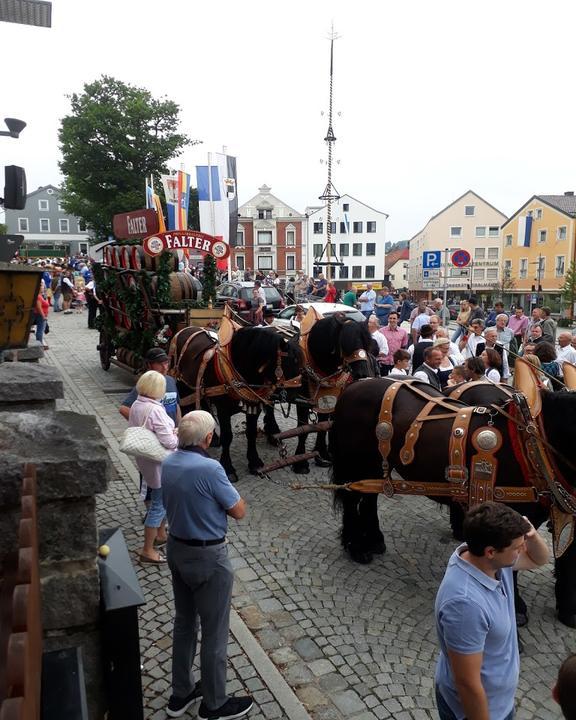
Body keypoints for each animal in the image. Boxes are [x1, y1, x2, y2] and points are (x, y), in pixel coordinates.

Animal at [169, 322, 302, 480]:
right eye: (288, 363)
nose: (295, 396)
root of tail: (185, 329)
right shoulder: (222, 409)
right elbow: (227, 436)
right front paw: (228, 467)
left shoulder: (253, 405)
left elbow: (251, 432)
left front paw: (254, 462)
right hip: (183, 384)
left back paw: (213, 438)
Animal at [328, 366, 576, 624]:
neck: (532, 446)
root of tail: (356, 384)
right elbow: (512, 565)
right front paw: (517, 609)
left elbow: (567, 556)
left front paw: (568, 609)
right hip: (355, 461)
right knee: (352, 500)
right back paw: (355, 546)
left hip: (375, 464)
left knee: (369, 498)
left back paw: (375, 539)